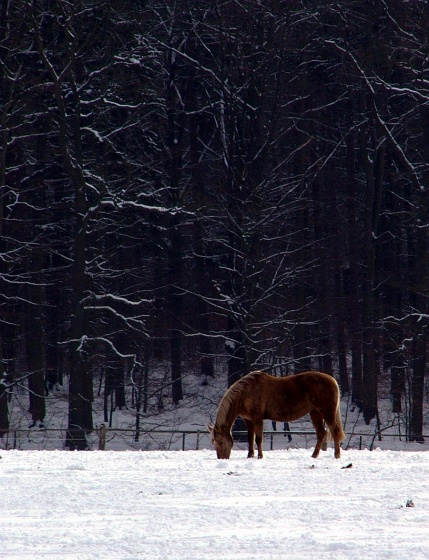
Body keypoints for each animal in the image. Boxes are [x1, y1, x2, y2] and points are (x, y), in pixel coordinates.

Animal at [207, 370, 344, 458]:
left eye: (220, 441)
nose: (222, 458)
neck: (246, 392)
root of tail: (332, 380)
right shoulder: (248, 420)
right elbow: (250, 439)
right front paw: (250, 456)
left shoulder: (257, 419)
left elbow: (258, 439)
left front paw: (260, 456)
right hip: (315, 413)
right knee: (321, 433)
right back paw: (314, 455)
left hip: (327, 412)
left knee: (335, 431)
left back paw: (336, 455)